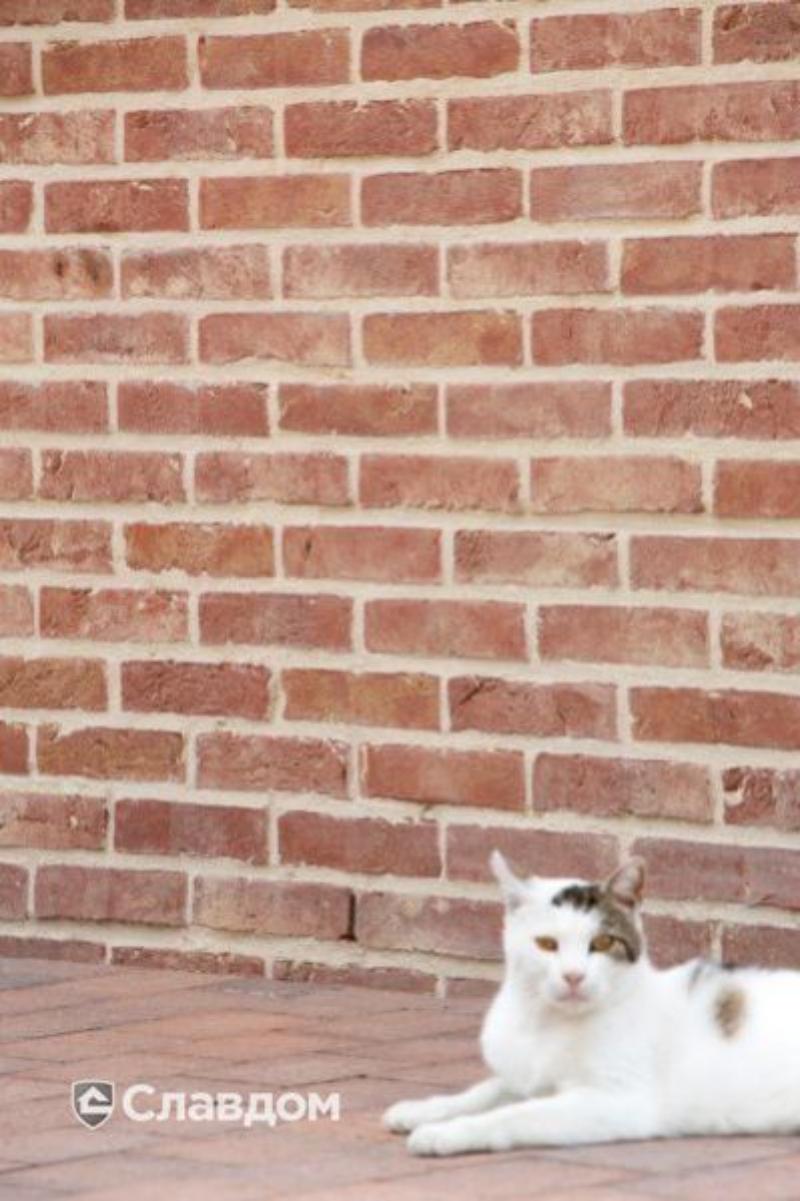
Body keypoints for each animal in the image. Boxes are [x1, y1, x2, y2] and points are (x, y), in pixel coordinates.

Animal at [383, 853, 800, 1156]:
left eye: (602, 943)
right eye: (546, 944)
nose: (573, 976)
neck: (546, 1022)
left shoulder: (616, 1101)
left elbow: (514, 1114)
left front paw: (445, 1133)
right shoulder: (526, 1077)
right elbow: (485, 1091)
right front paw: (421, 1110)